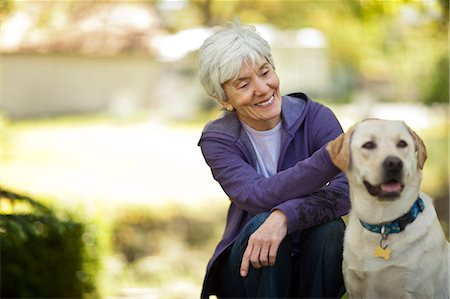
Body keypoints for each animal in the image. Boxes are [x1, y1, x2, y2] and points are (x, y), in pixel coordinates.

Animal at [326, 120, 448, 299]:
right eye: (368, 145)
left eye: (402, 144)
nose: (394, 163)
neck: (384, 223)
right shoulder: (355, 288)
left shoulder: (417, 291)